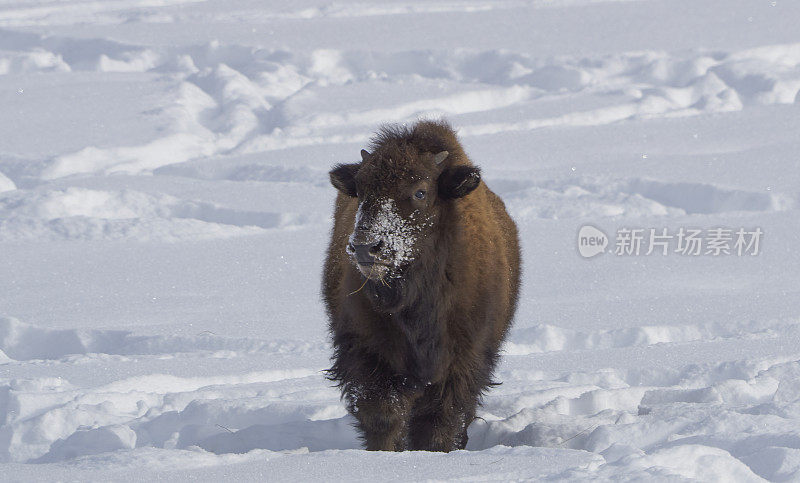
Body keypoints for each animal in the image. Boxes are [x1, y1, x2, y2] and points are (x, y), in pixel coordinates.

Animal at [322, 119, 520, 452]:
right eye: (360, 190)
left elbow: (440, 419)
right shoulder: (367, 352)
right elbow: (383, 414)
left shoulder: (462, 358)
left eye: (420, 192)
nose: (365, 247)